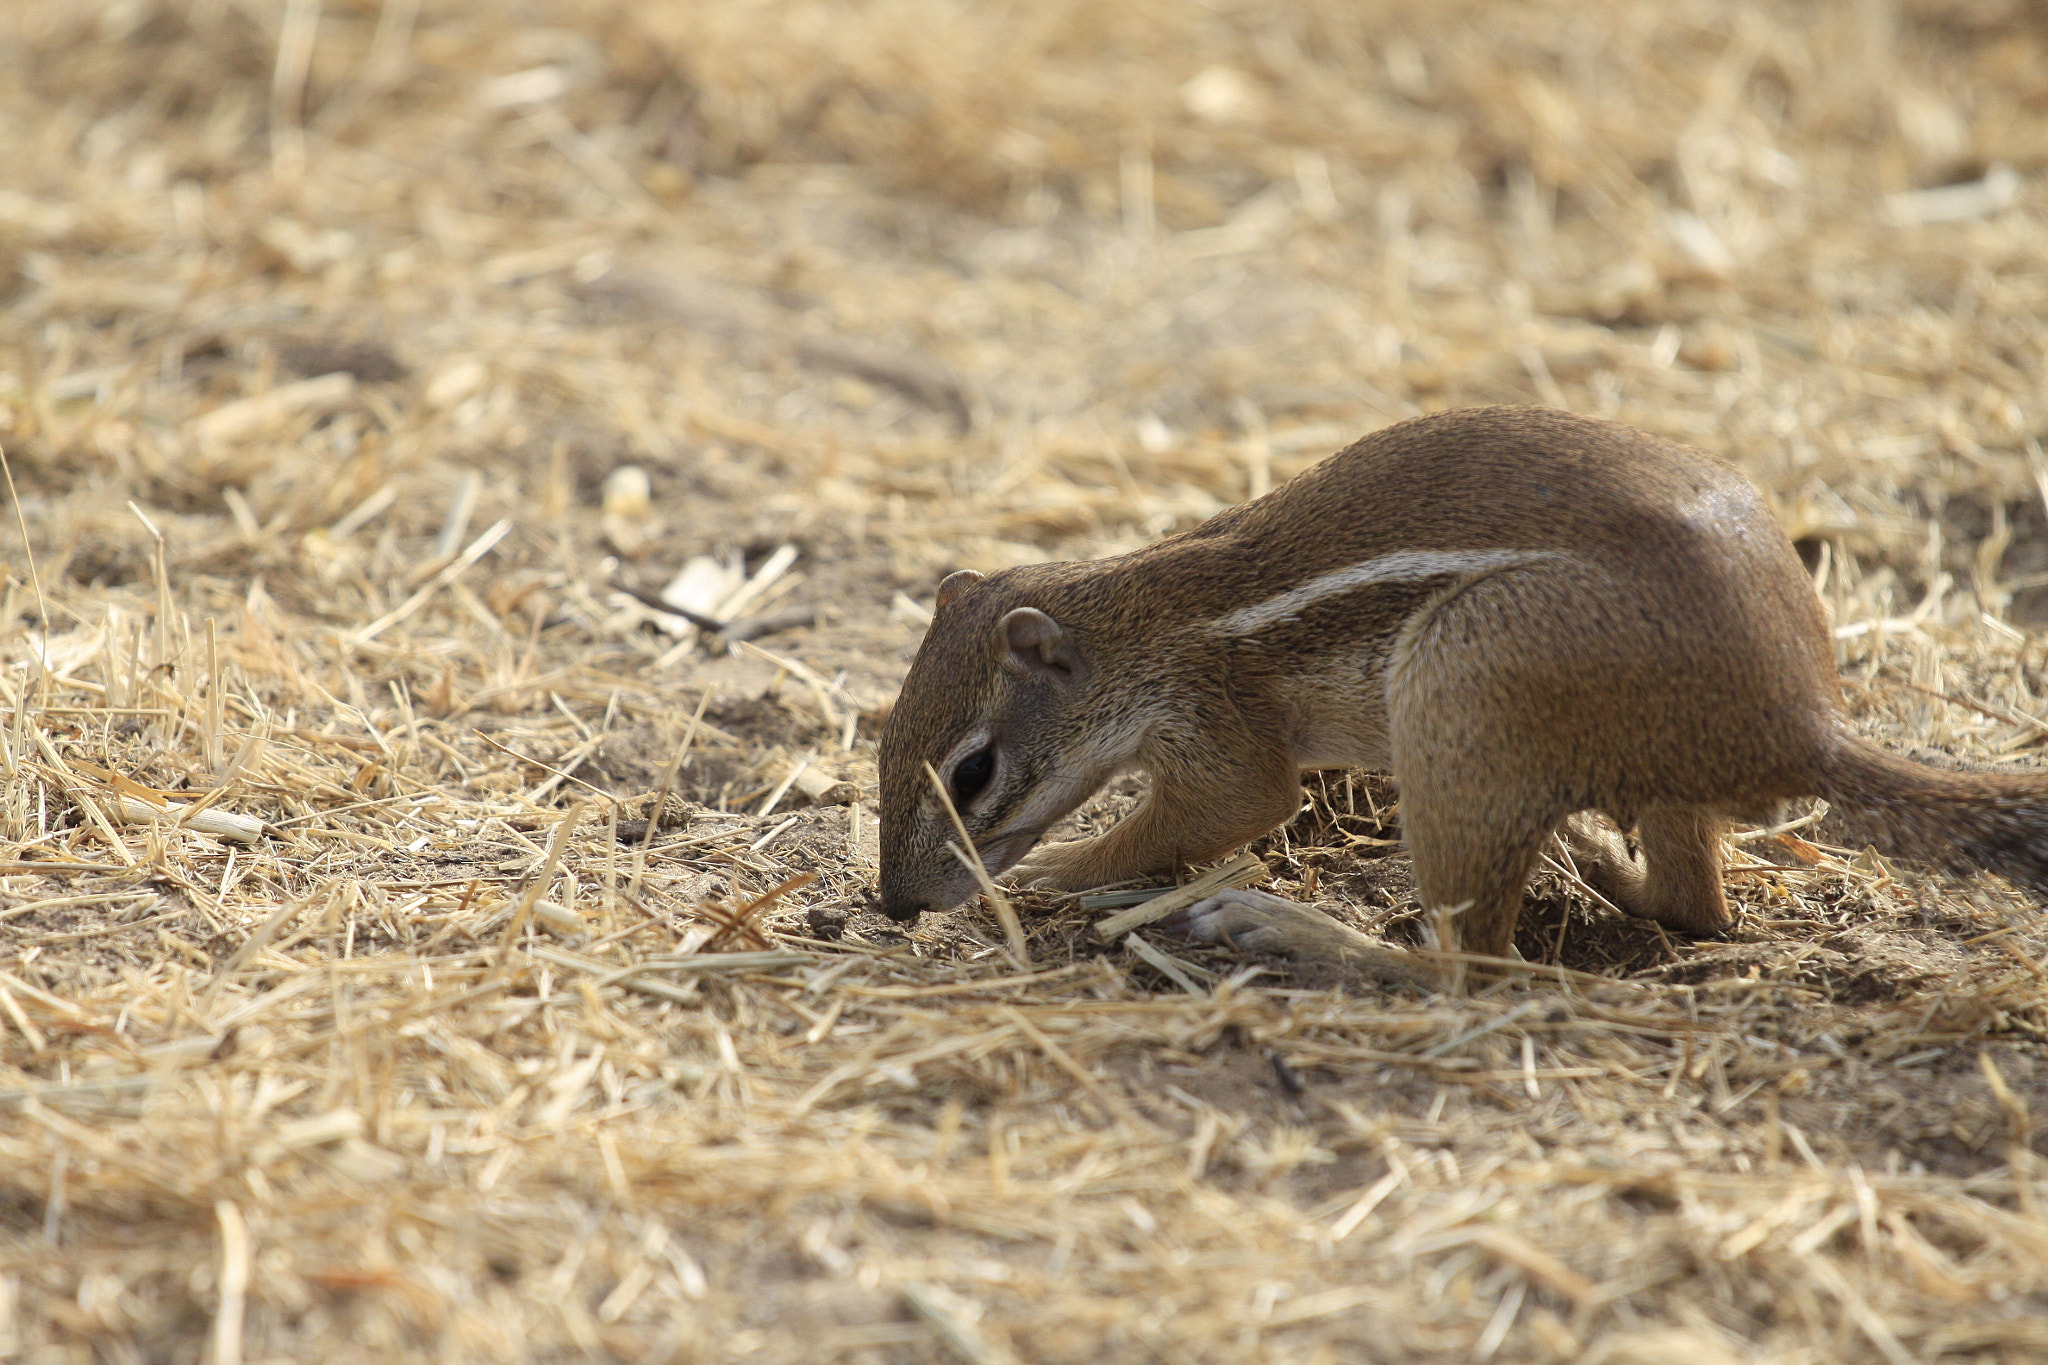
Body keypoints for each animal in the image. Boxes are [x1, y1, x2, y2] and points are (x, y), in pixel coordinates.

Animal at [876, 401, 2048, 986]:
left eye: (972, 772)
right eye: (883, 740)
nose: (891, 903)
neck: (1140, 625)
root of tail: (1804, 725)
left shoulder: (1218, 726)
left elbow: (1234, 808)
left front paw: (1050, 870)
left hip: (1461, 671)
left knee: (1467, 964)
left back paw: (1289, 928)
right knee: (1688, 906)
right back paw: (1596, 862)